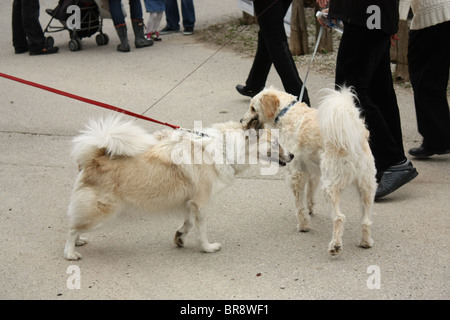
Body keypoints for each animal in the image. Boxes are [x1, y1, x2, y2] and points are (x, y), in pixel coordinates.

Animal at [64, 116, 296, 262]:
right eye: (275, 143)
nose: (292, 155)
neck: (224, 147)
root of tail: (96, 157)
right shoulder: (201, 203)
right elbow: (201, 230)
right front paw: (207, 248)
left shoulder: (189, 202)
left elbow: (188, 223)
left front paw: (179, 237)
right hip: (102, 211)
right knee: (72, 229)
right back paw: (70, 252)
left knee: (76, 227)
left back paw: (80, 241)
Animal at [241, 87, 378, 255]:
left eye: (253, 108)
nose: (241, 120)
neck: (288, 113)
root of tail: (353, 138)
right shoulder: (314, 171)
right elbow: (310, 193)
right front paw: (310, 208)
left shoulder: (296, 173)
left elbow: (299, 205)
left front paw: (304, 225)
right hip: (367, 187)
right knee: (366, 220)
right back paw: (365, 242)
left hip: (331, 187)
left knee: (339, 217)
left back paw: (335, 246)